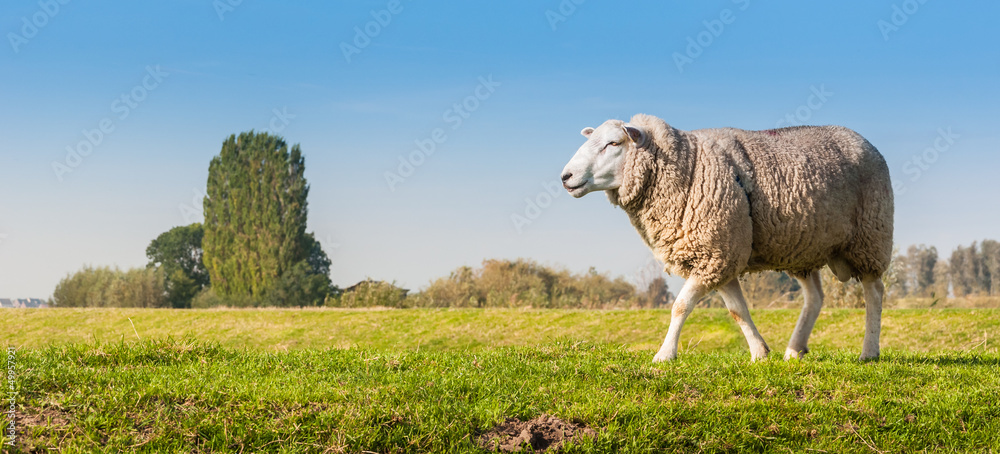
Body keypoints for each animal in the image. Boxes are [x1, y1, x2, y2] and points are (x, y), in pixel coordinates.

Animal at [560, 114, 893, 362]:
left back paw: (869, 351)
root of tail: (861, 139)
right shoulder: (721, 255)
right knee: (815, 297)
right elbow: (737, 310)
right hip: (803, 245)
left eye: (613, 143)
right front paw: (760, 353)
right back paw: (794, 350)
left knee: (874, 292)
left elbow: (680, 306)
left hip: (870, 236)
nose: (566, 177)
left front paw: (664, 355)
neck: (687, 166)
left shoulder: (716, 252)